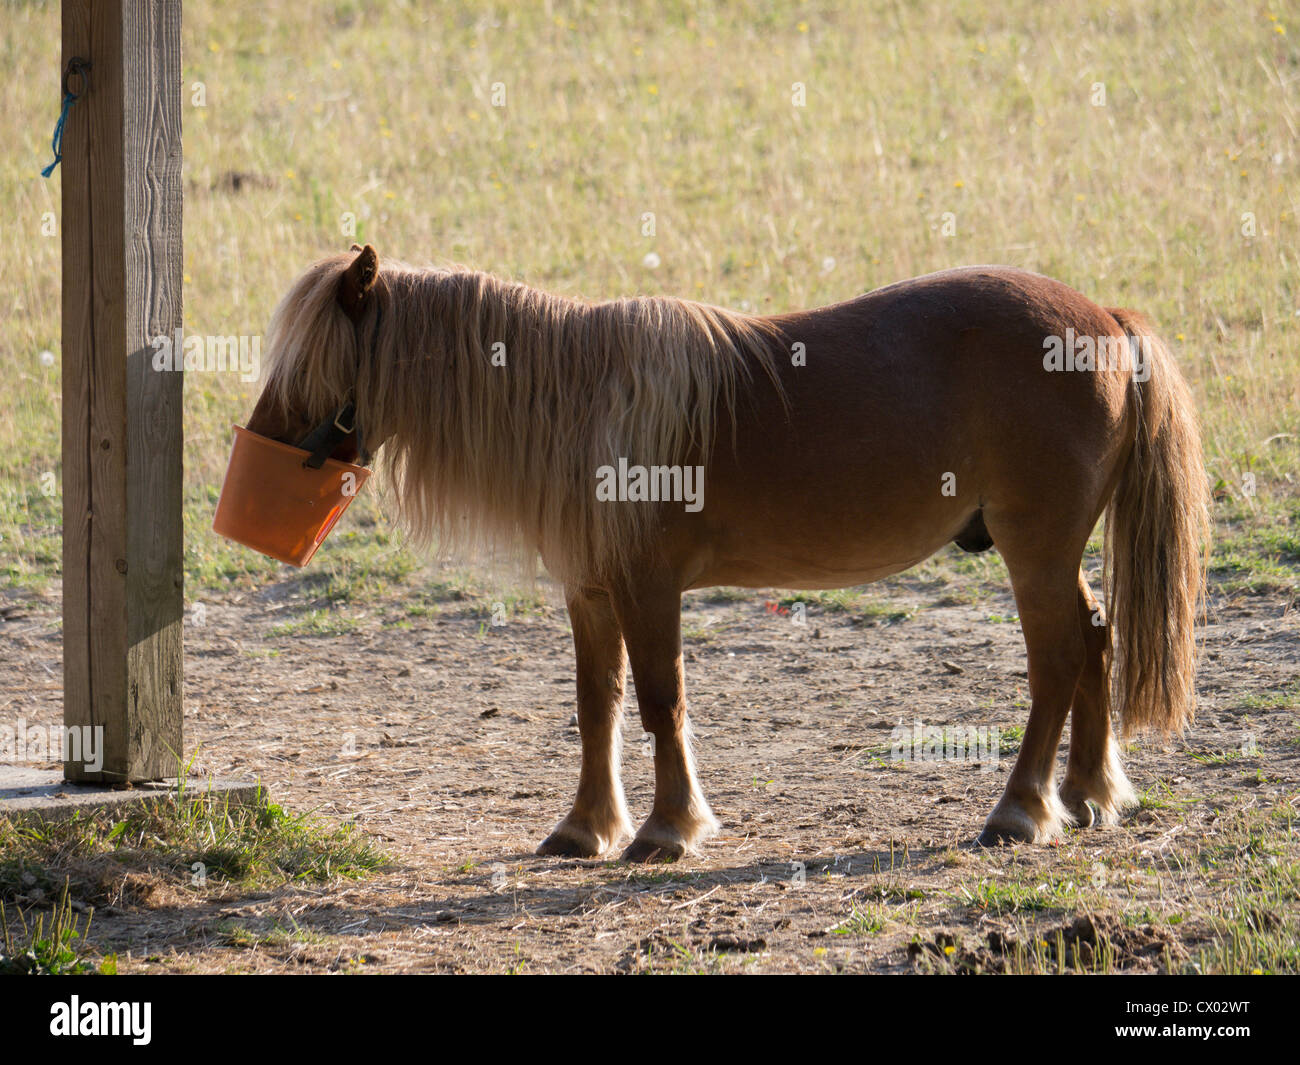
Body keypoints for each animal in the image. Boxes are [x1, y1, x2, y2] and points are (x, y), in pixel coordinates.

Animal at [244, 244, 1209, 862]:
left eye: (311, 359)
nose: (259, 444)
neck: (580, 400)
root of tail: (1106, 319)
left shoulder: (648, 587)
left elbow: (661, 702)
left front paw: (667, 829)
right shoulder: (592, 593)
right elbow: (598, 706)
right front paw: (585, 828)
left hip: (1031, 550)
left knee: (1057, 659)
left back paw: (1020, 810)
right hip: (1053, 553)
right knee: (1095, 637)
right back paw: (1089, 794)